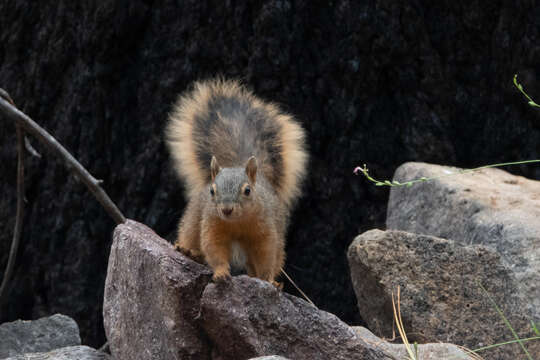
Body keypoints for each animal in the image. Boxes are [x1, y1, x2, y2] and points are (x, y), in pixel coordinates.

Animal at [165, 77, 308, 286]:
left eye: (247, 191)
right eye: (212, 191)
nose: (226, 210)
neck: (237, 224)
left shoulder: (266, 231)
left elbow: (266, 255)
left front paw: (267, 279)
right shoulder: (212, 225)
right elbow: (214, 249)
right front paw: (221, 273)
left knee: (271, 259)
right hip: (194, 218)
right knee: (190, 234)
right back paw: (188, 251)